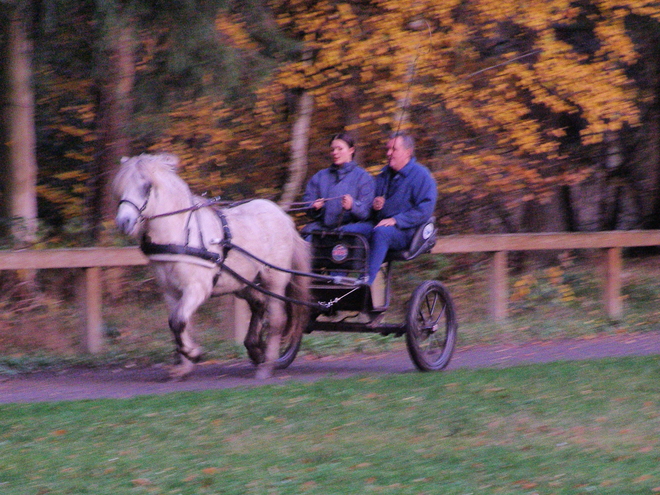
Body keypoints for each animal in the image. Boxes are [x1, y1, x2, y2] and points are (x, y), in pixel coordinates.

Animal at [112, 154, 310, 380]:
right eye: (121, 188)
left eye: (147, 186)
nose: (124, 222)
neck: (180, 235)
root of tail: (283, 216)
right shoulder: (171, 292)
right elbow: (177, 324)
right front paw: (183, 367)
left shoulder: (197, 289)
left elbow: (178, 321)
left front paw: (193, 353)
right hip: (245, 282)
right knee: (259, 306)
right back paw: (256, 350)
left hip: (274, 279)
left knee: (276, 320)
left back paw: (266, 365)